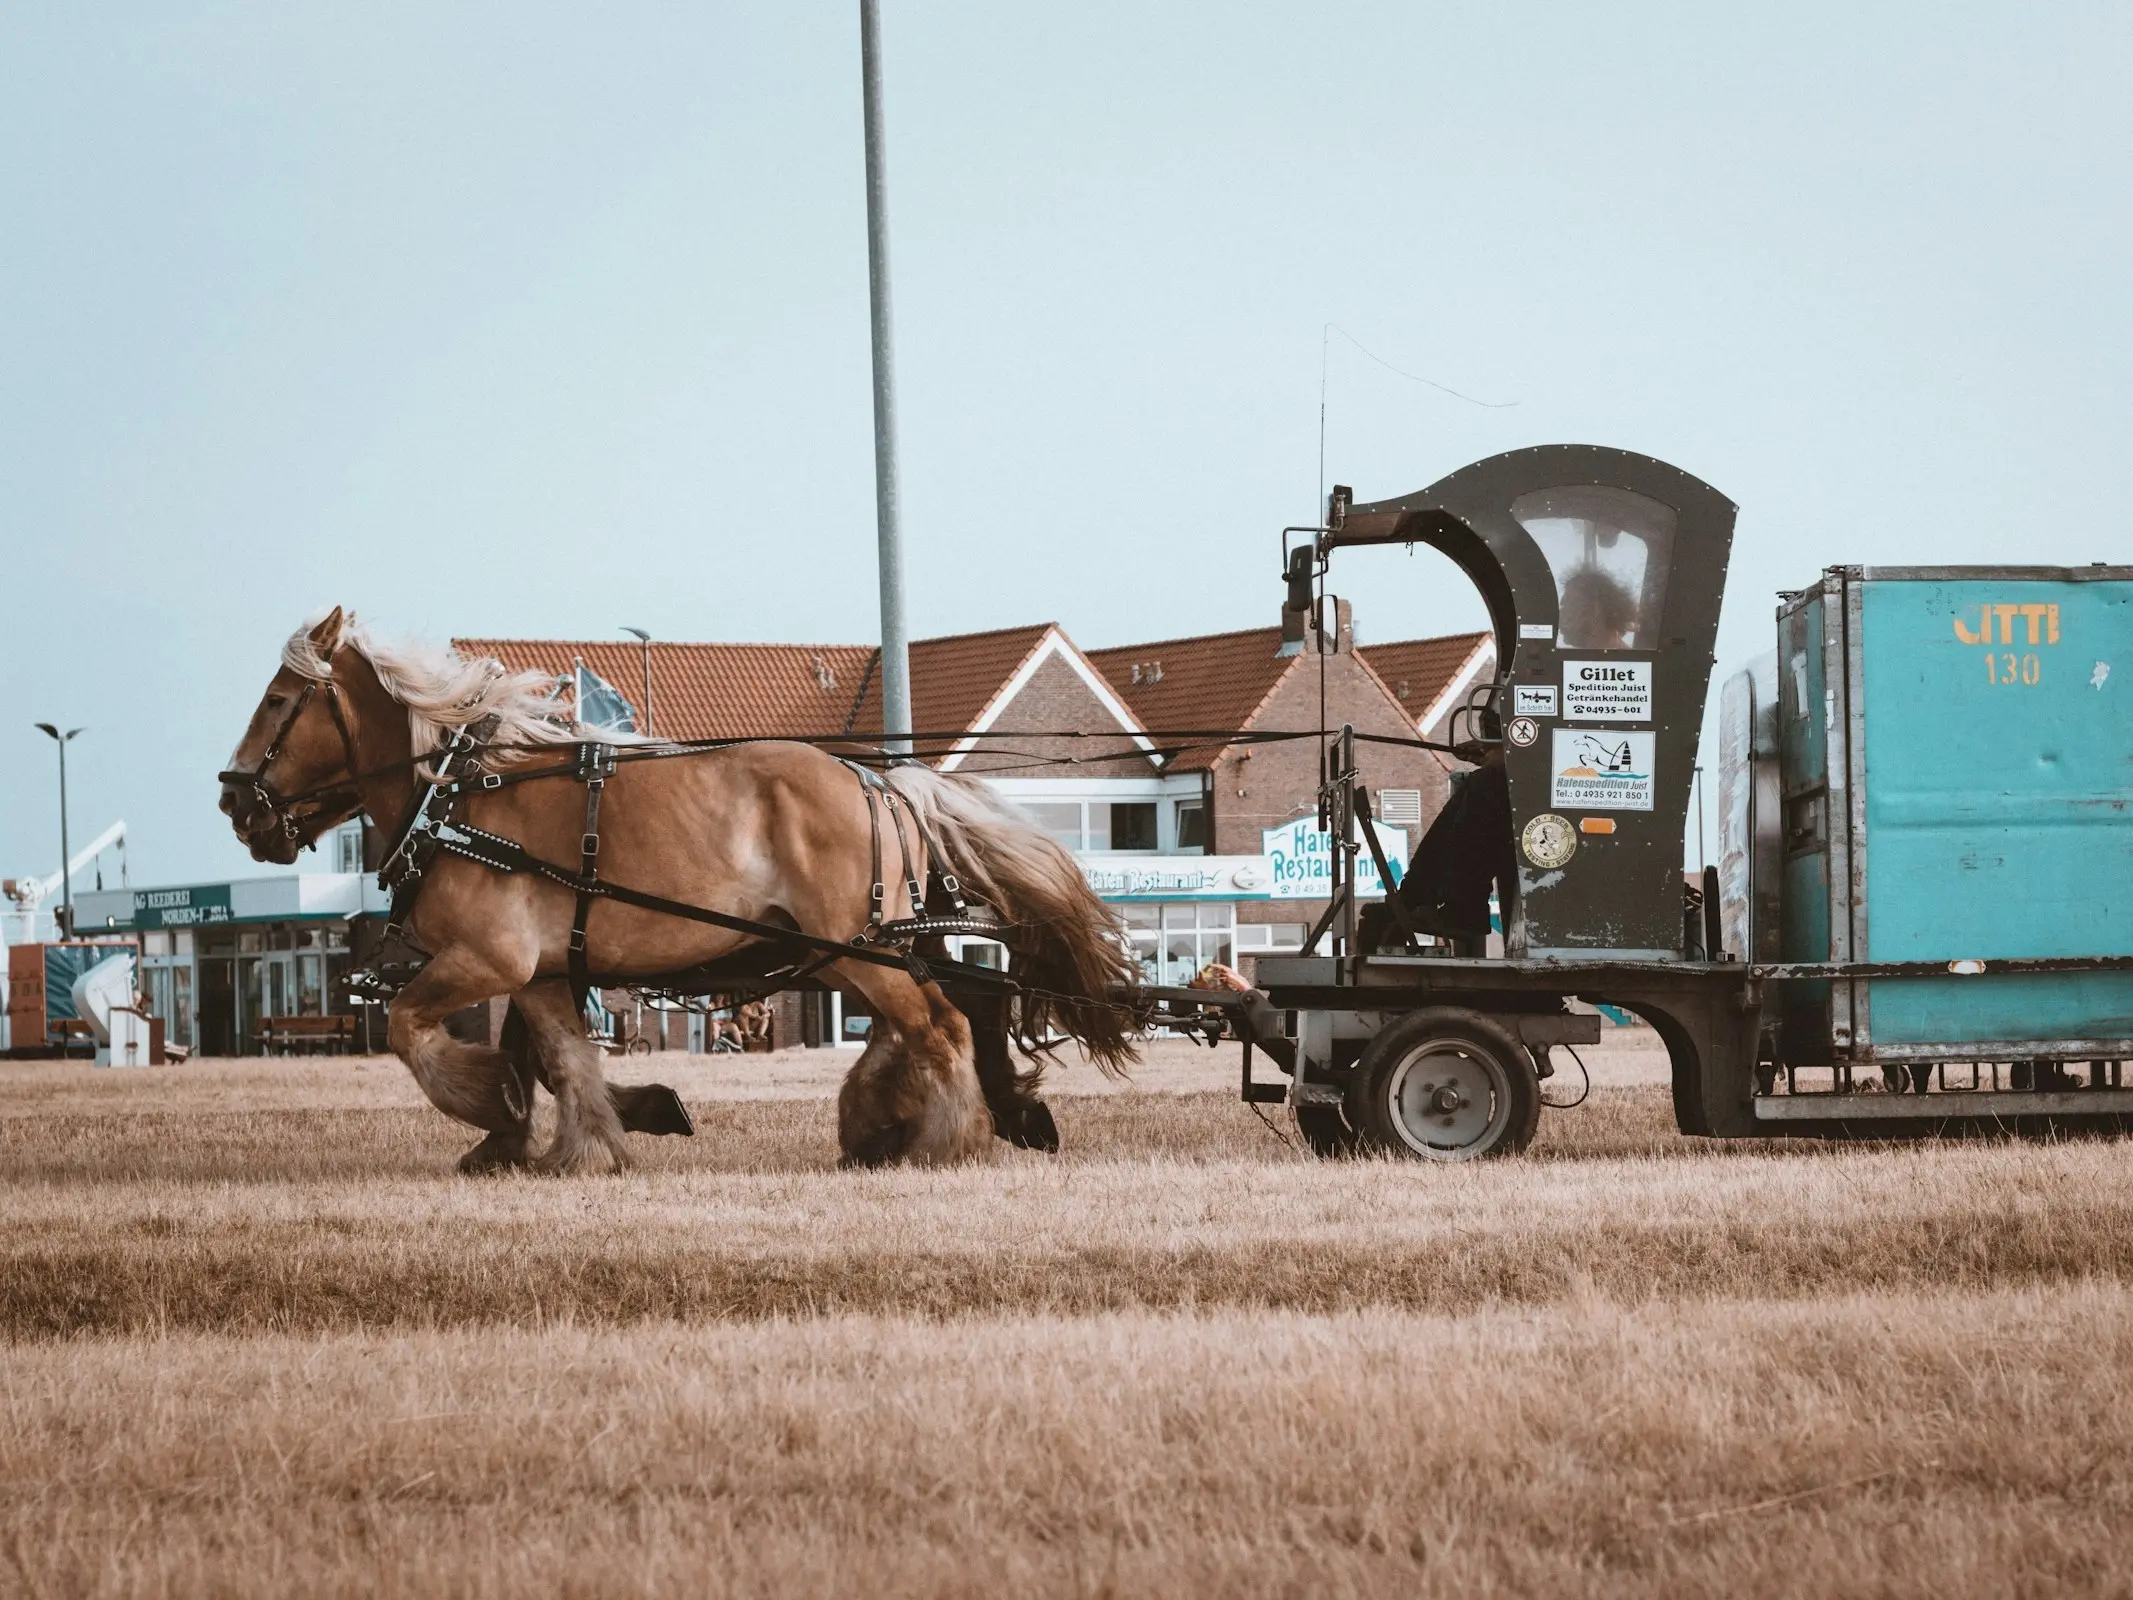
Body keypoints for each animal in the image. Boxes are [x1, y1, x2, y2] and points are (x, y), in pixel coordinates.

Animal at [222, 605, 1143, 1169]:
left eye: (276, 700)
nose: (234, 802)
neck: (460, 795)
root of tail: (880, 782)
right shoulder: (545, 974)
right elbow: (567, 1061)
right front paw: (584, 1144)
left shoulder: (487, 960)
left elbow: (411, 1029)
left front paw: (491, 1104)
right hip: (851, 950)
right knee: (935, 1017)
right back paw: (899, 1121)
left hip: (851, 948)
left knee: (941, 1024)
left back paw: (941, 1139)